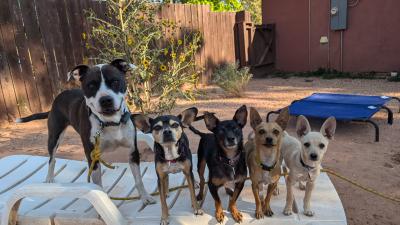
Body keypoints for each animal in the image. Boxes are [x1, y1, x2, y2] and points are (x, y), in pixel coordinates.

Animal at [16, 58, 156, 206]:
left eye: (115, 81)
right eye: (91, 86)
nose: (106, 100)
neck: (110, 123)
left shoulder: (132, 152)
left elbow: (139, 179)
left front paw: (145, 197)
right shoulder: (92, 155)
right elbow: (98, 186)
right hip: (54, 136)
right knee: (52, 159)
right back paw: (49, 178)